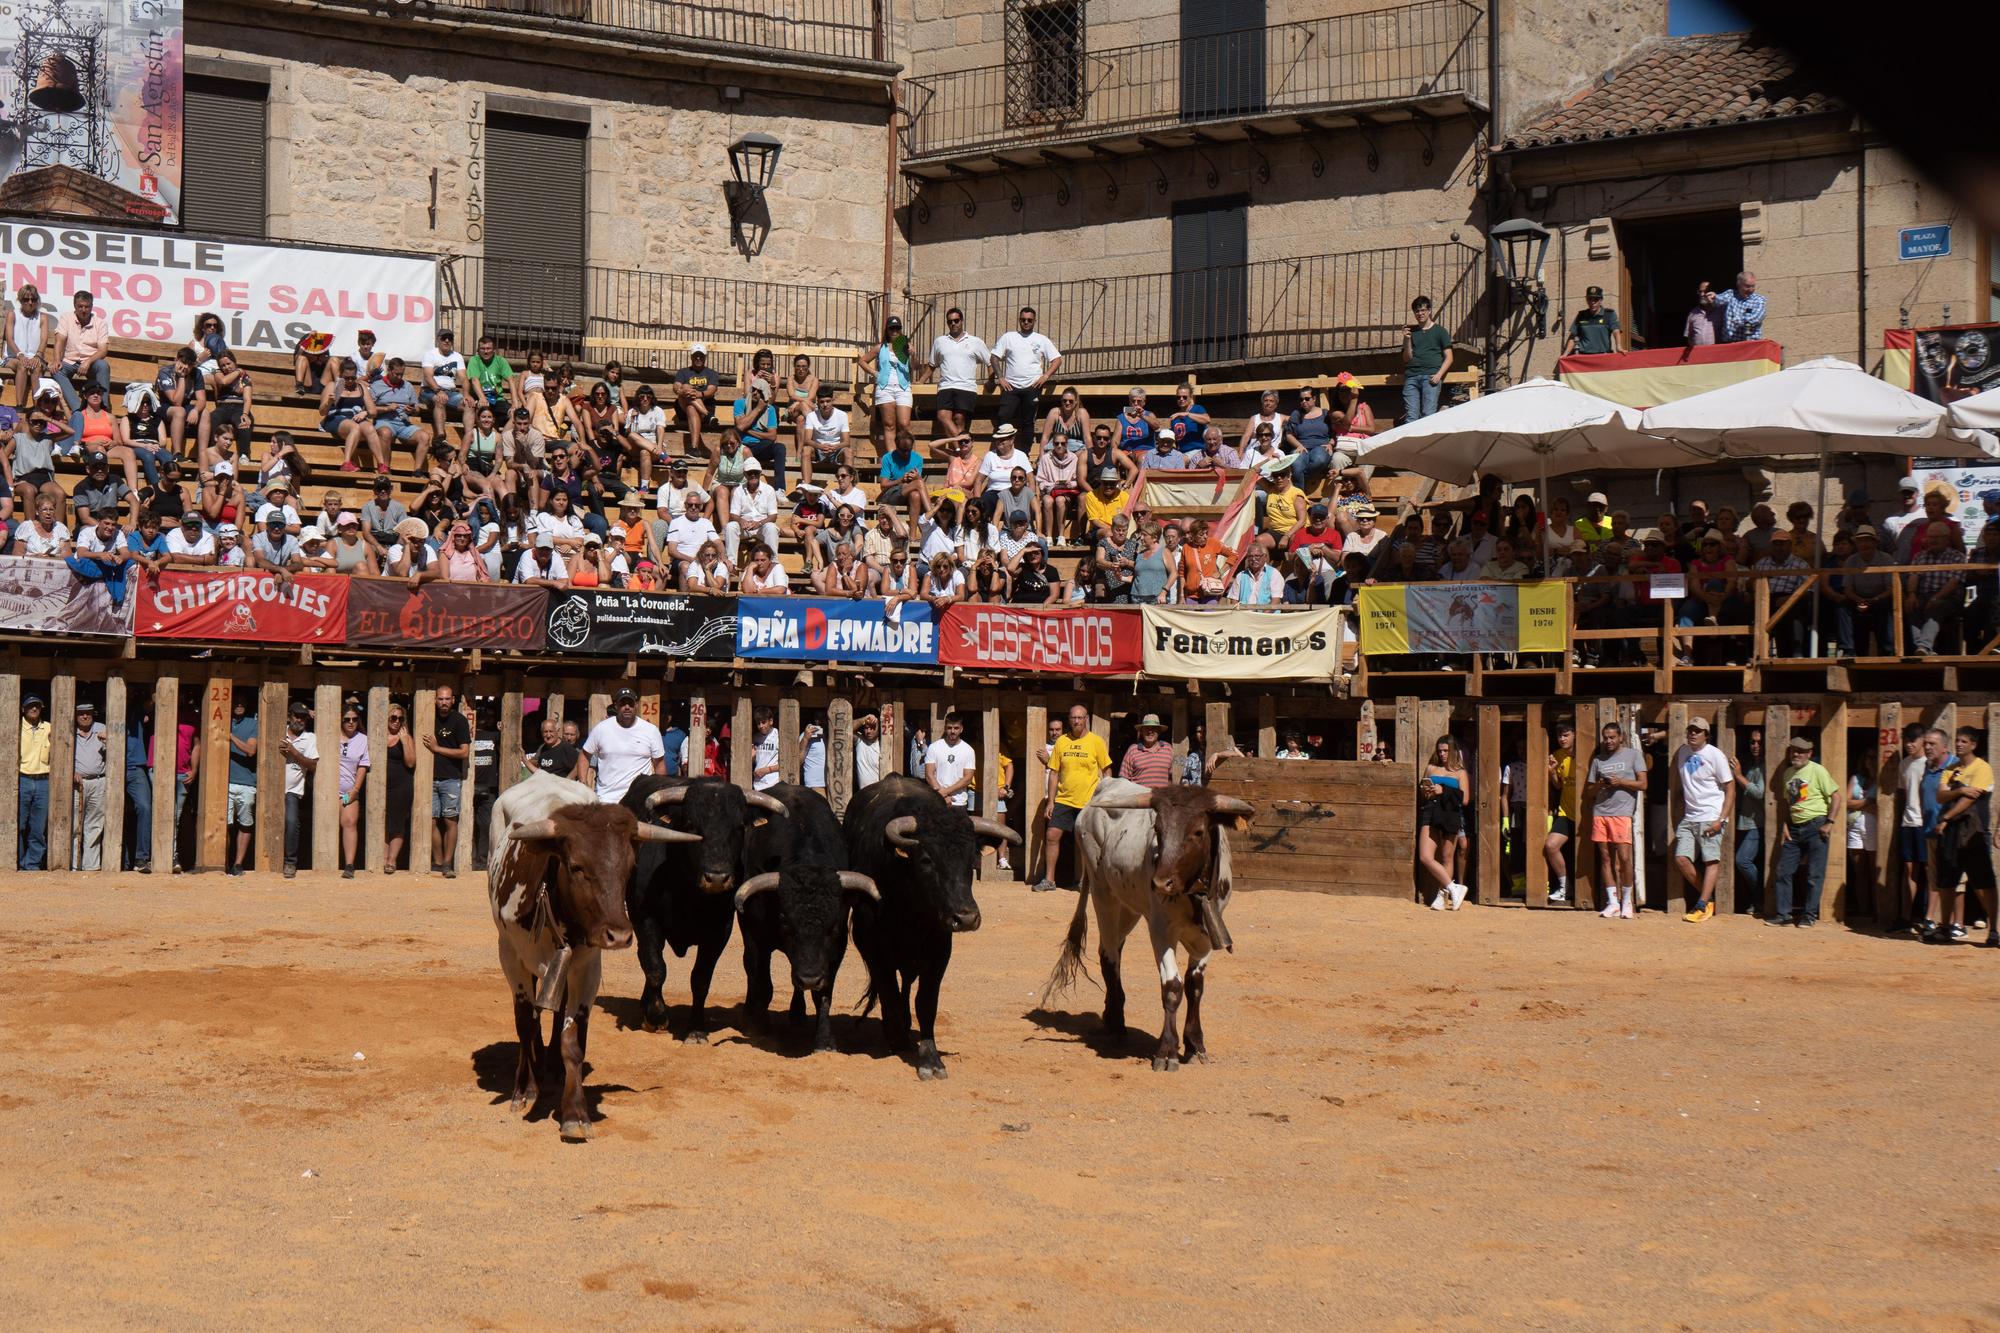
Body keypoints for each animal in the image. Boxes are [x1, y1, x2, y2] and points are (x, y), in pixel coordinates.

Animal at [488, 772, 700, 1136]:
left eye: (629, 867)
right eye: (576, 866)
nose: (619, 935)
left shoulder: (586, 967)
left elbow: (572, 1039)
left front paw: (574, 1111)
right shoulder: (511, 958)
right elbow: (525, 1023)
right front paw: (524, 1091)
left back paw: (553, 1067)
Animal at [1048, 780, 1248, 1072]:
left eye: (1198, 832)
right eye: (1159, 830)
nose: (1160, 883)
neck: (1192, 892)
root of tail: (1106, 784)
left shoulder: (1208, 934)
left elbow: (1195, 985)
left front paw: (1195, 1044)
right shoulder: (1161, 930)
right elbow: (1173, 986)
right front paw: (1167, 1051)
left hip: (1129, 906)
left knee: (1112, 948)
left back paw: (1110, 1014)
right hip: (1103, 893)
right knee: (1110, 956)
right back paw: (1117, 1023)